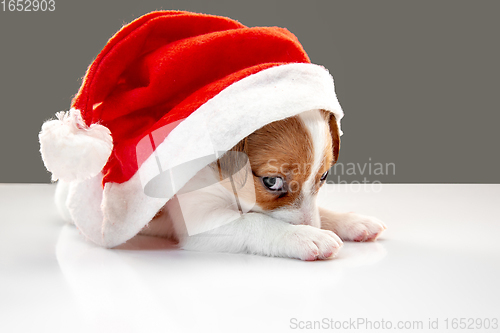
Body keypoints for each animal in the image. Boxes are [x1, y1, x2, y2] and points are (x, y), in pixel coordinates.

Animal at [141, 109, 386, 260]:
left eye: (324, 175)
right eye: (271, 182)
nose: (310, 228)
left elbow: (321, 211)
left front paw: (351, 221)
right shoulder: (201, 220)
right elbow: (254, 221)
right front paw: (305, 235)